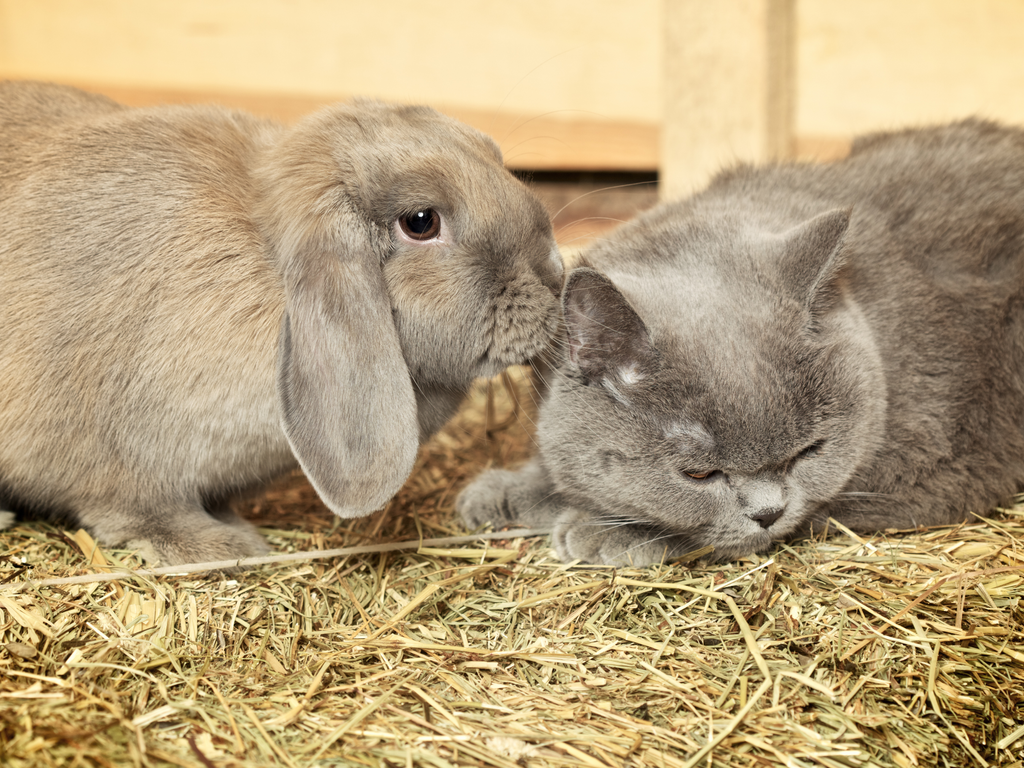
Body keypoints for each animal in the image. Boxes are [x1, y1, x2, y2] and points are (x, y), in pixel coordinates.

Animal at [0, 81, 561, 569]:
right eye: (421, 221)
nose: (554, 276)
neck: (265, 267)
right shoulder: (122, 467)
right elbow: (139, 511)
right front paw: (226, 547)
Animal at [460, 118, 1024, 565]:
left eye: (809, 452)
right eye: (699, 474)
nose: (768, 512)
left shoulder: (926, 468)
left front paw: (603, 530)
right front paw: (508, 491)